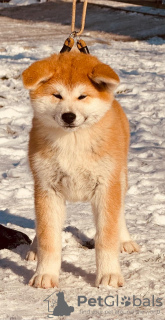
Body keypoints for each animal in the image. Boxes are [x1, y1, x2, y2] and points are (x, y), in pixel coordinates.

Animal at [22, 50, 139, 290]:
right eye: (56, 95)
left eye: (82, 96)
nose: (68, 116)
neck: (73, 143)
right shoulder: (47, 188)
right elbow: (49, 238)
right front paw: (45, 275)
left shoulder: (106, 187)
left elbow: (106, 238)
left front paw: (109, 275)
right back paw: (34, 248)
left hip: (120, 179)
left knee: (119, 214)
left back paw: (125, 240)